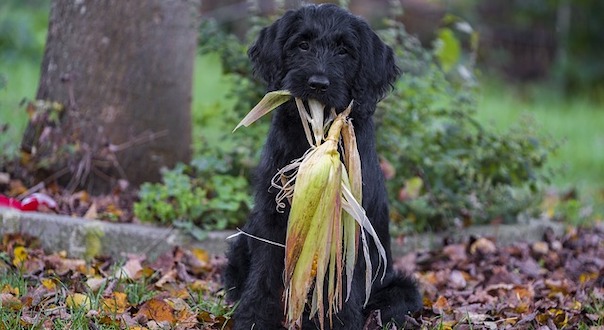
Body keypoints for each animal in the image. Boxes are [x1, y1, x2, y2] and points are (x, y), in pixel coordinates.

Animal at [225, 3, 420, 328]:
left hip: (400, 286)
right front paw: (253, 317)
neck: (316, 138)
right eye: (302, 44)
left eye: (344, 50)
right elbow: (264, 272)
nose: (318, 84)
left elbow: (343, 282)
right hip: (241, 243)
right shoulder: (272, 217)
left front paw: (338, 321)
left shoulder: (349, 225)